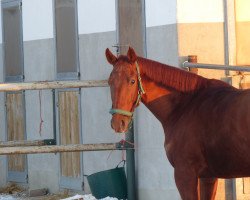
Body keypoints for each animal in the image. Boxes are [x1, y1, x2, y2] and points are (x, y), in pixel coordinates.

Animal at [106, 47, 250, 200]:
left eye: (132, 81)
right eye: (110, 82)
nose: (118, 123)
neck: (186, 105)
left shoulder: (184, 174)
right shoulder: (208, 177)